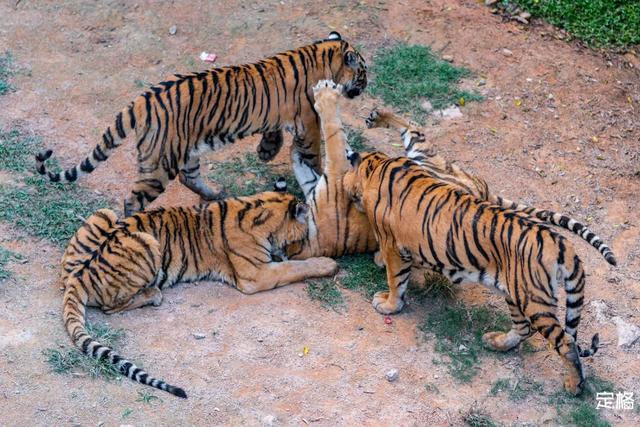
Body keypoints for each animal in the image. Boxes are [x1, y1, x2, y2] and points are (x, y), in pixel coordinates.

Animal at [35, 32, 368, 217]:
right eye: (363, 72)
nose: (366, 85)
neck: (324, 56)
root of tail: (141, 100)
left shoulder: (280, 115)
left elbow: (273, 131)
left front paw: (265, 151)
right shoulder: (308, 122)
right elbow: (312, 154)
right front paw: (314, 171)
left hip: (186, 150)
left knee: (188, 177)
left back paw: (215, 195)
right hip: (159, 164)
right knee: (133, 200)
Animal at [61, 191, 340, 398]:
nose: (300, 247)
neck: (262, 207)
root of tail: (78, 277)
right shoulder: (256, 275)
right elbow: (294, 268)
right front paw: (328, 264)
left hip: (105, 215)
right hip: (146, 241)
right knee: (111, 306)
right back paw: (154, 294)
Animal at [368, 108, 616, 266]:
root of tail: (483, 187)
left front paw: (381, 259)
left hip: (424, 155)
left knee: (413, 127)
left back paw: (375, 117)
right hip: (424, 156)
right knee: (413, 126)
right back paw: (375, 118)